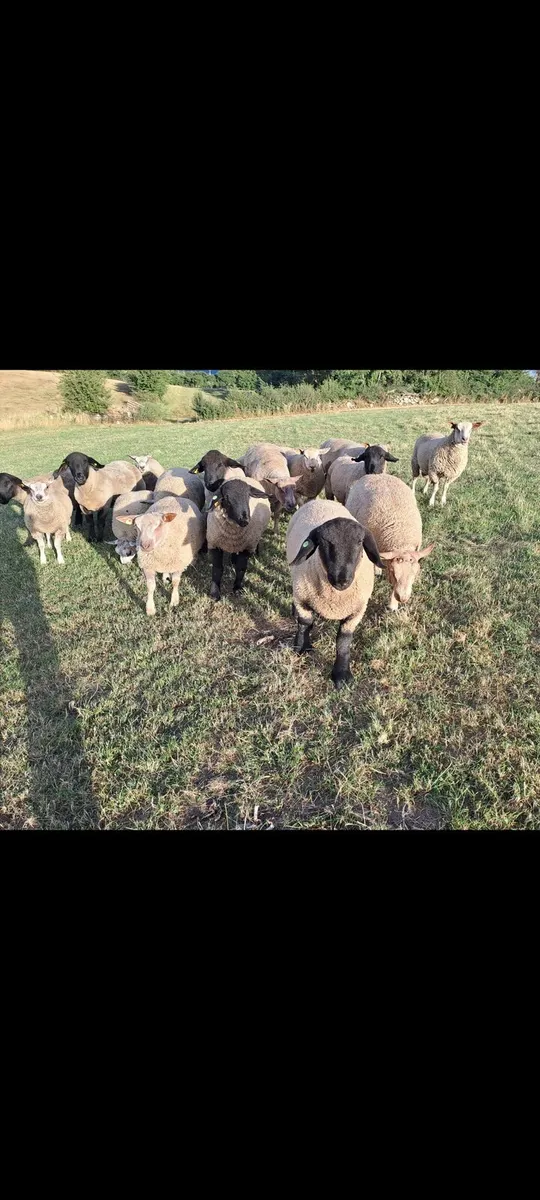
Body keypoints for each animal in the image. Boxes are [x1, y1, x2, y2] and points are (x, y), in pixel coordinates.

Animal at [286, 497, 384, 690]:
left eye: (360, 542)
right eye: (324, 542)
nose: (341, 580)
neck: (335, 599)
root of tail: (322, 500)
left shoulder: (356, 612)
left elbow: (343, 641)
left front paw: (341, 675)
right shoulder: (302, 597)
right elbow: (304, 624)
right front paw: (302, 647)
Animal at [346, 474, 434, 611]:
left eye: (415, 573)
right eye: (393, 572)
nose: (403, 598)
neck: (401, 540)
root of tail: (377, 475)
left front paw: (393, 605)